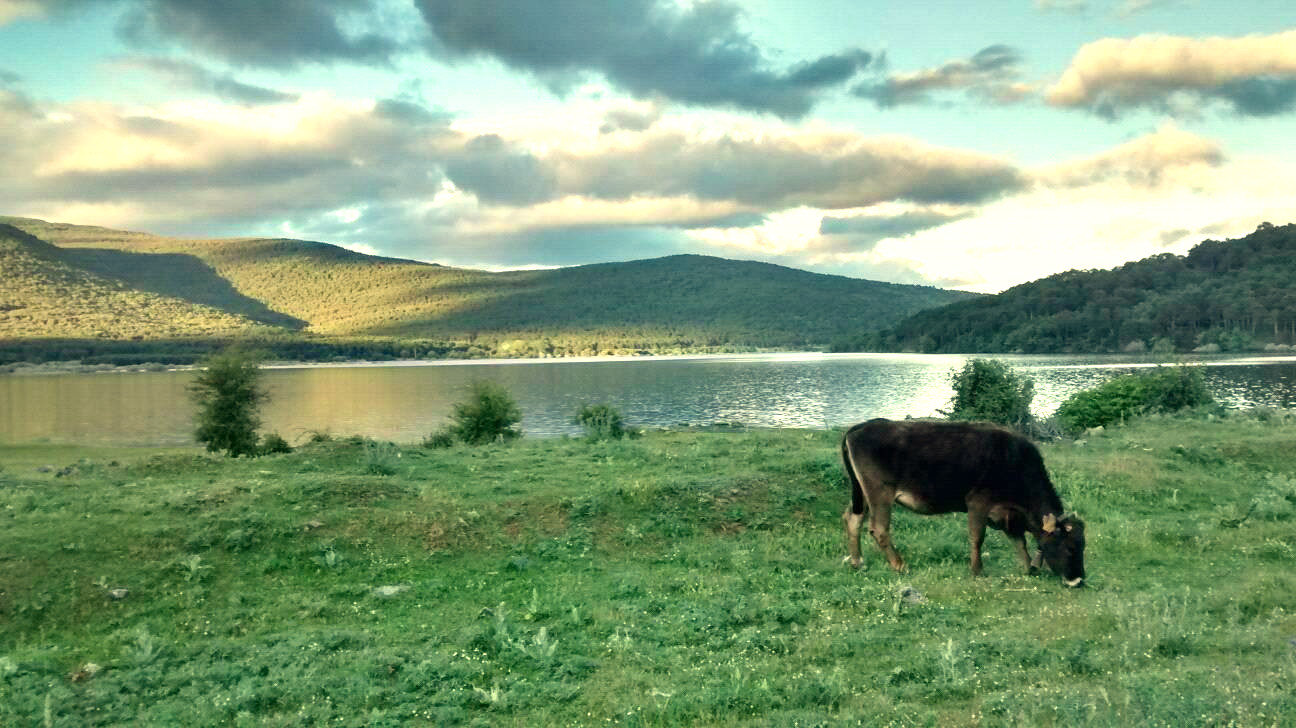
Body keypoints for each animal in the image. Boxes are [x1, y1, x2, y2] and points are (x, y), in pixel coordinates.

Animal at [839, 417, 1083, 580]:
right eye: (1071, 548)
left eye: (1083, 545)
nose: (1078, 580)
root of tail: (859, 427)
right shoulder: (978, 502)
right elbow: (977, 537)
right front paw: (977, 571)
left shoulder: (1008, 515)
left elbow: (1019, 541)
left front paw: (1028, 568)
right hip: (880, 492)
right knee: (879, 528)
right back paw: (900, 565)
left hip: (862, 494)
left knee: (852, 518)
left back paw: (857, 562)